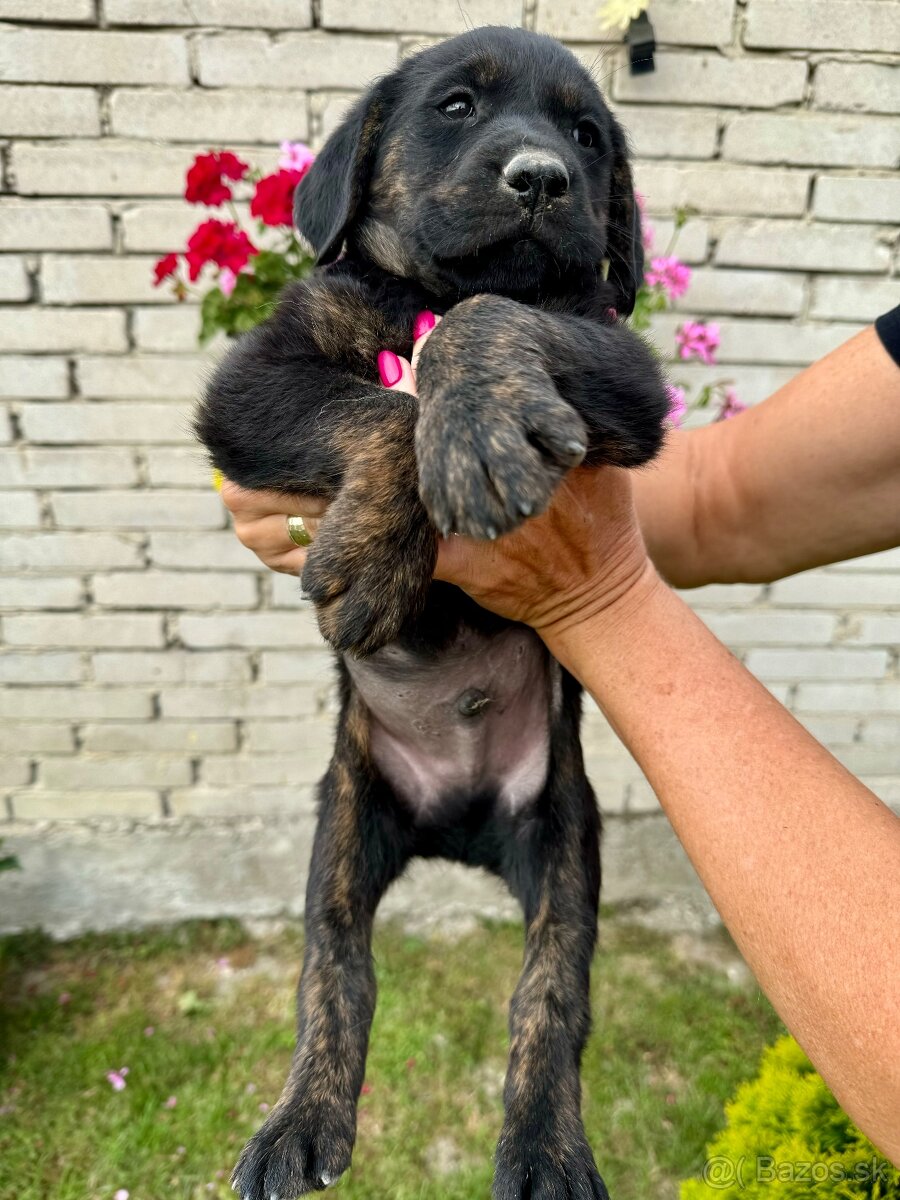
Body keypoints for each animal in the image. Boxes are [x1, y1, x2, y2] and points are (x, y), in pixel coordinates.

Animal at [199, 21, 676, 1200]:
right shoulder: (255, 378)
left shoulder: (623, 362)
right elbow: (375, 404)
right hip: (345, 822)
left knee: (550, 998)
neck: (416, 296)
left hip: (564, 841)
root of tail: (459, 825)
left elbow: (495, 314)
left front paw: (471, 433)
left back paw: (547, 1150)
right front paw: (377, 552)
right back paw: (300, 1122)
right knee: (335, 969)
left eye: (588, 137)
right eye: (456, 107)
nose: (543, 177)